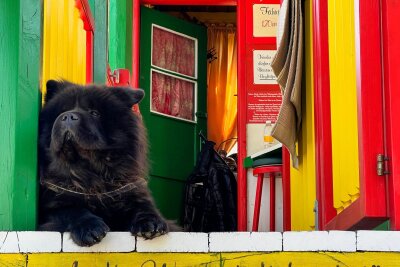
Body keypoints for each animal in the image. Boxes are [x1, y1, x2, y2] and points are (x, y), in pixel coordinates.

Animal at [38, 80, 169, 248]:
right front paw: (90, 229)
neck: (91, 174)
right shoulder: (53, 206)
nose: (67, 116)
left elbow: (143, 207)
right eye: (63, 111)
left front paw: (151, 223)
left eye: (94, 113)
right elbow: (72, 211)